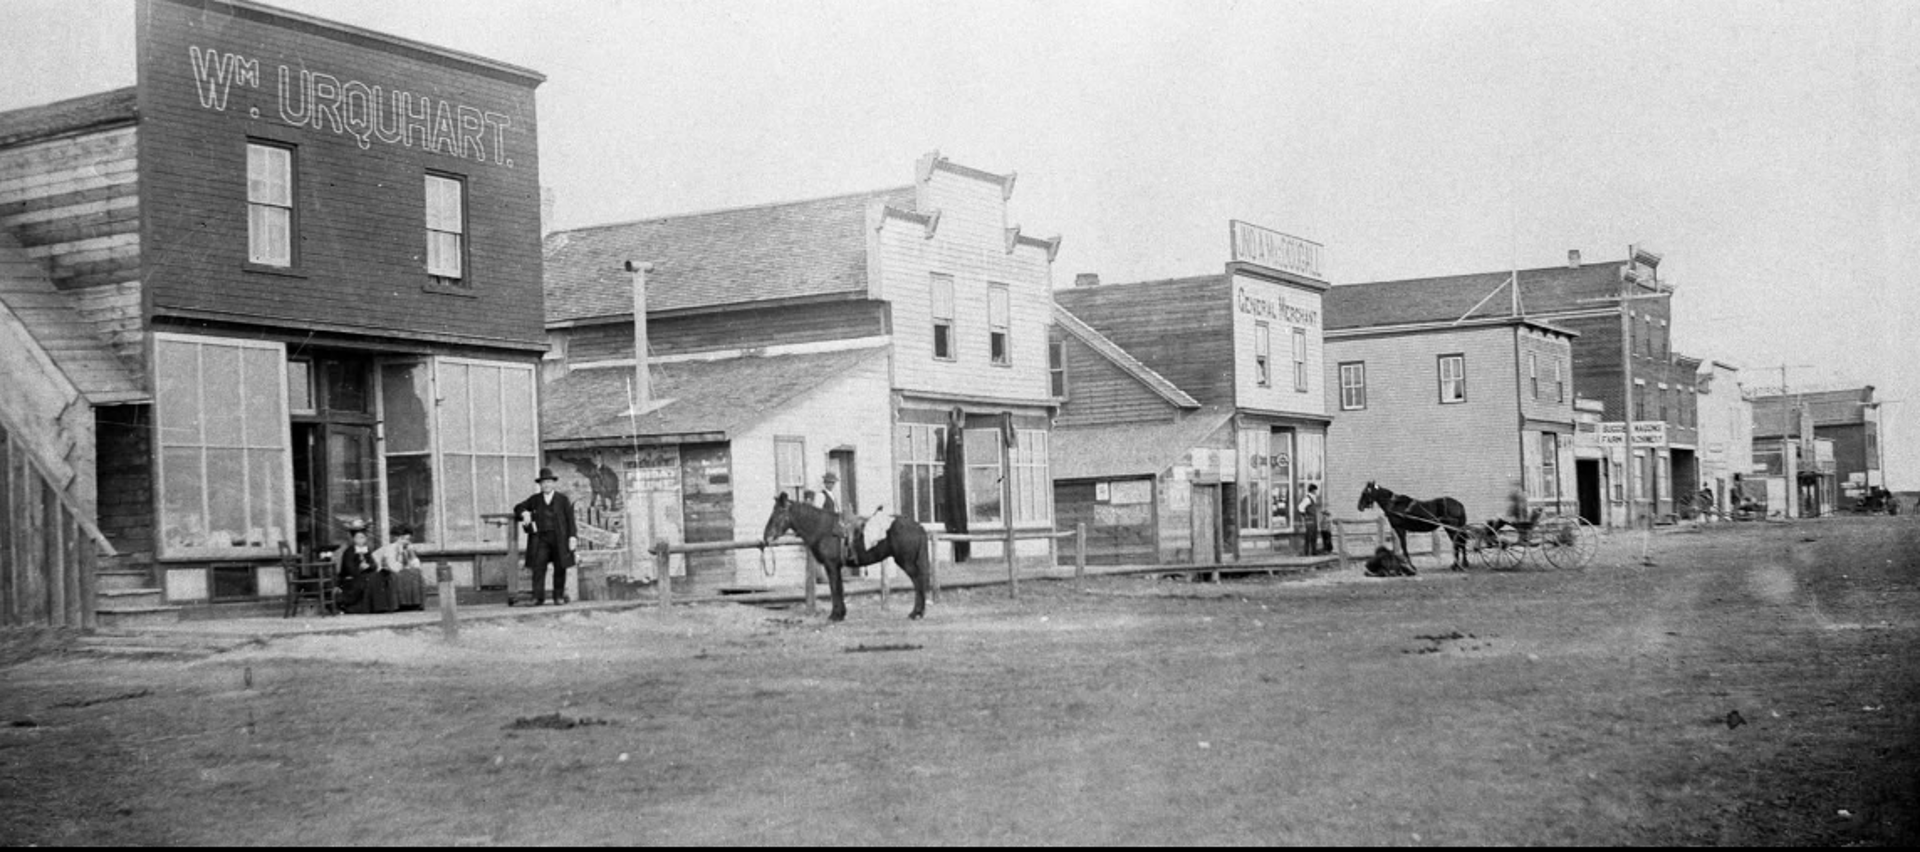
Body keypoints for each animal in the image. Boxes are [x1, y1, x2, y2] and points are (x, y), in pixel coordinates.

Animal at [756, 491, 929, 617]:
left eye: (778, 513)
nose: (766, 537)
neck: (822, 528)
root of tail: (918, 526)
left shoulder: (831, 565)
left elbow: (834, 588)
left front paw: (835, 615)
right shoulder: (836, 567)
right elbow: (839, 587)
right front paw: (841, 613)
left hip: (906, 562)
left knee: (918, 581)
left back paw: (916, 612)